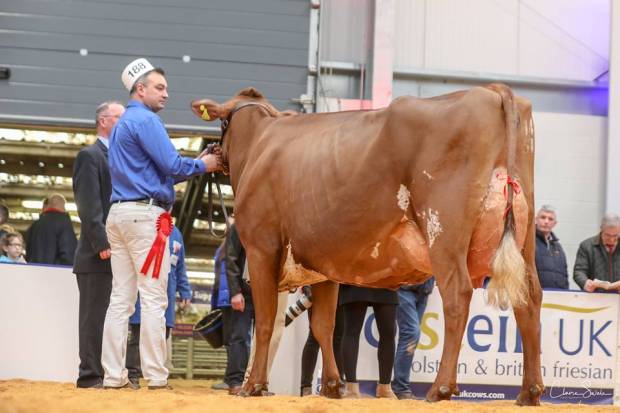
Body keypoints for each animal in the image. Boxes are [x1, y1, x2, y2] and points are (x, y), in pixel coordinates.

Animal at [191, 83, 544, 402]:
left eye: (221, 127)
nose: (211, 153)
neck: (260, 143)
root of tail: (491, 91)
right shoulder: (323, 264)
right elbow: (324, 326)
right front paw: (332, 387)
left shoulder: (262, 248)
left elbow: (264, 323)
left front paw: (253, 386)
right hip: (523, 239)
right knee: (529, 299)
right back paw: (529, 392)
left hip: (443, 233)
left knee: (457, 297)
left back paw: (440, 389)